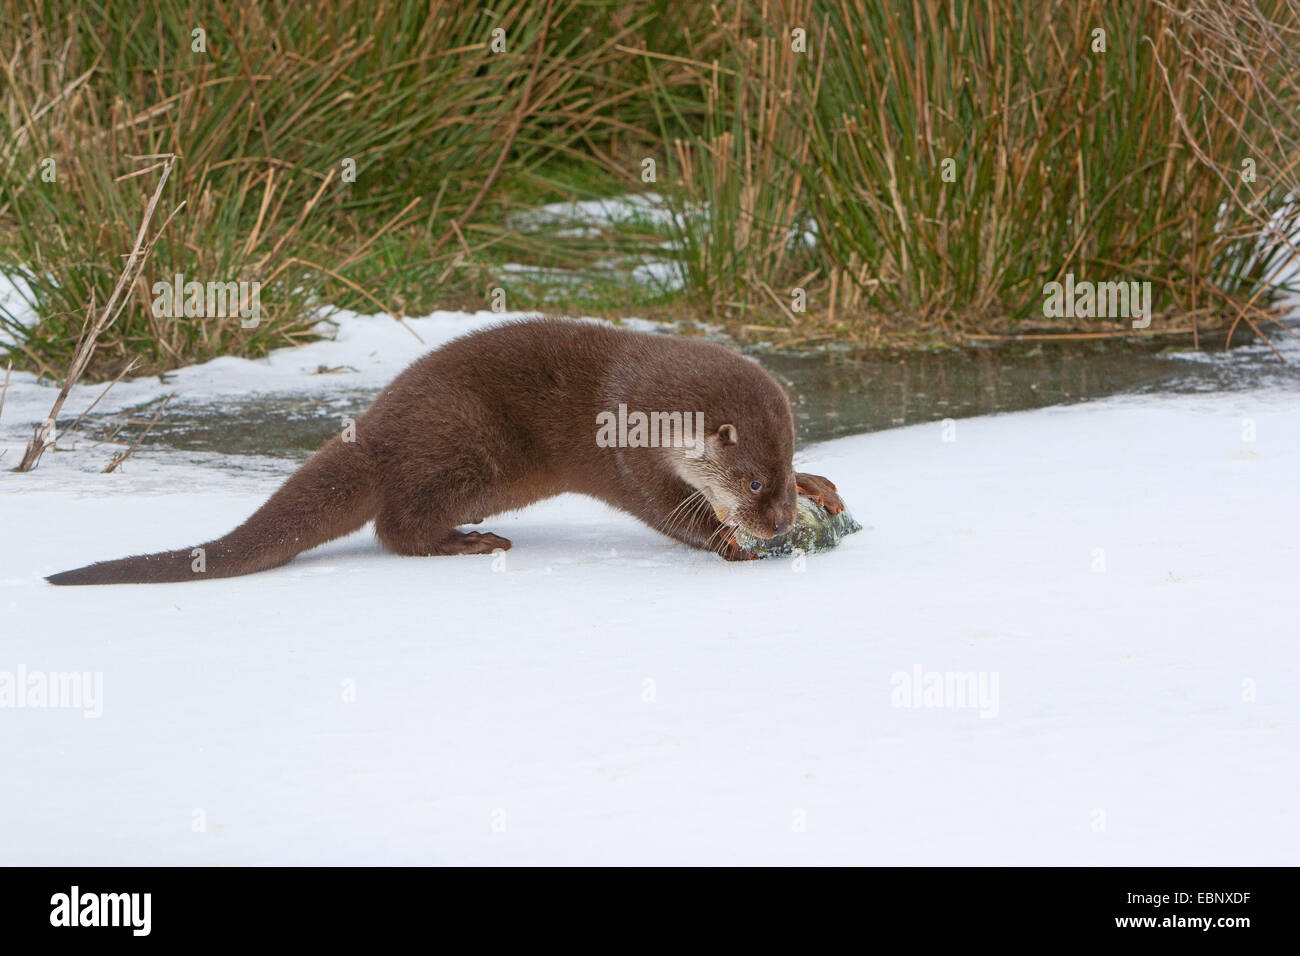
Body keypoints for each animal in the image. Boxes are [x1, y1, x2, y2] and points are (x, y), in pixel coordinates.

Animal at [43, 317, 842, 582]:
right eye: (751, 482)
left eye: (779, 472)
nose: (776, 523)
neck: (641, 411)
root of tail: (371, 429)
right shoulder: (628, 459)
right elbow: (667, 511)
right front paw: (731, 542)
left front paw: (820, 487)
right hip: (464, 446)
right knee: (395, 526)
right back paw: (468, 542)